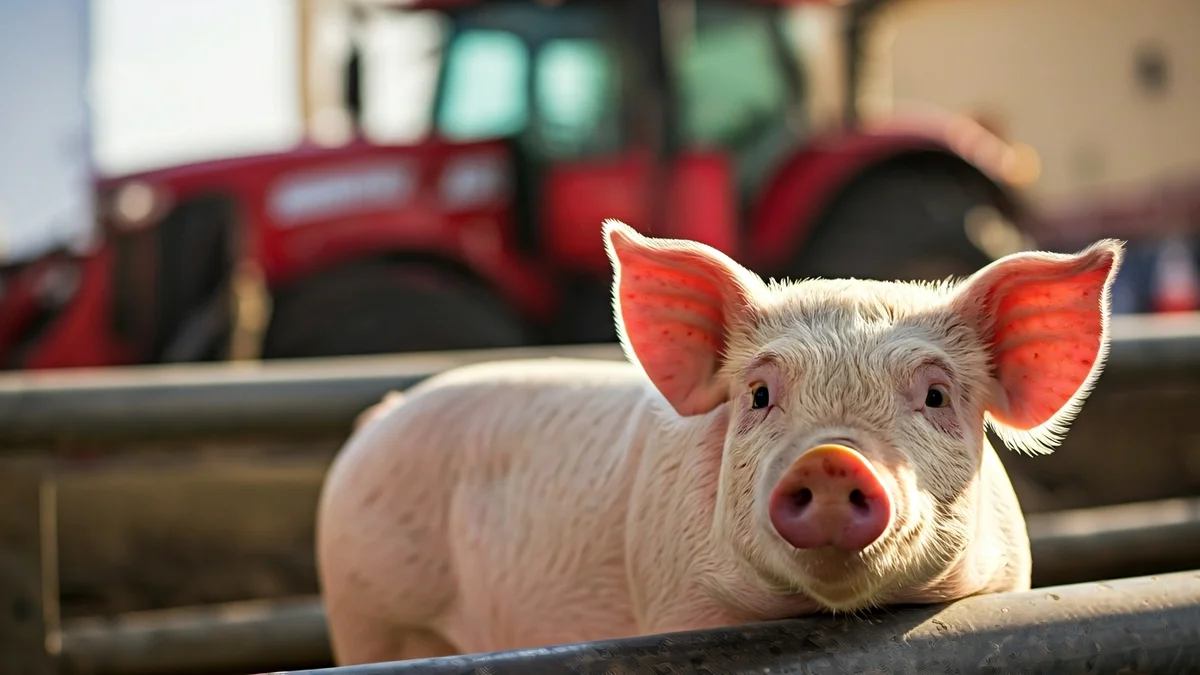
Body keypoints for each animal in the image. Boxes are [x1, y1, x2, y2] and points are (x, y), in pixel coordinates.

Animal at [315, 219, 1124, 665]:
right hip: (366, 609)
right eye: (760, 395)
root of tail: (380, 417)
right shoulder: (677, 608)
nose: (832, 457)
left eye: (934, 396)